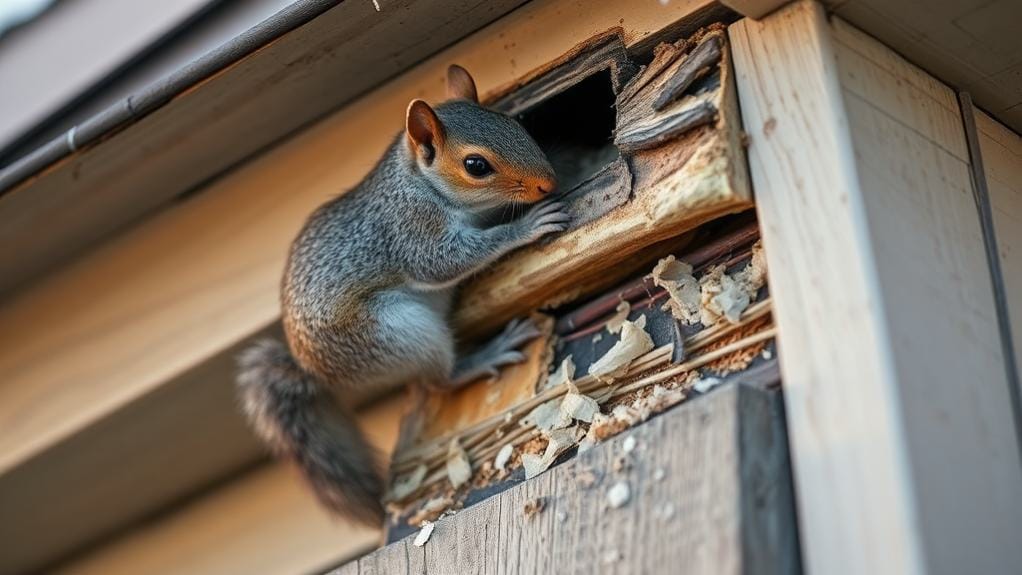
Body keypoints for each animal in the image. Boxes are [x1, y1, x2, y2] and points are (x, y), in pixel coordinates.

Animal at [239, 64, 572, 526]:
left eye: (515, 124)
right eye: (476, 165)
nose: (548, 182)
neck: (420, 183)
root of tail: (314, 368)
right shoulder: (412, 230)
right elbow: (444, 261)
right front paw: (527, 226)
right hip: (398, 334)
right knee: (439, 381)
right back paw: (485, 355)